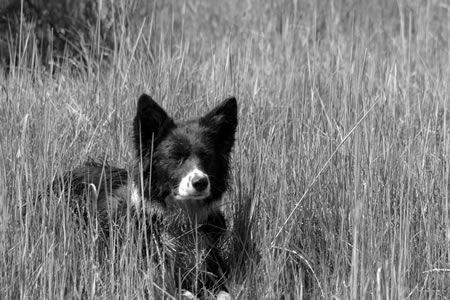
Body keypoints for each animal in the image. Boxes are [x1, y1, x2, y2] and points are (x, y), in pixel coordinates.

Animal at [59, 93, 239, 298]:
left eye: (206, 156)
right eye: (175, 157)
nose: (200, 182)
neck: (181, 224)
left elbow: (225, 293)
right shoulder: (148, 275)